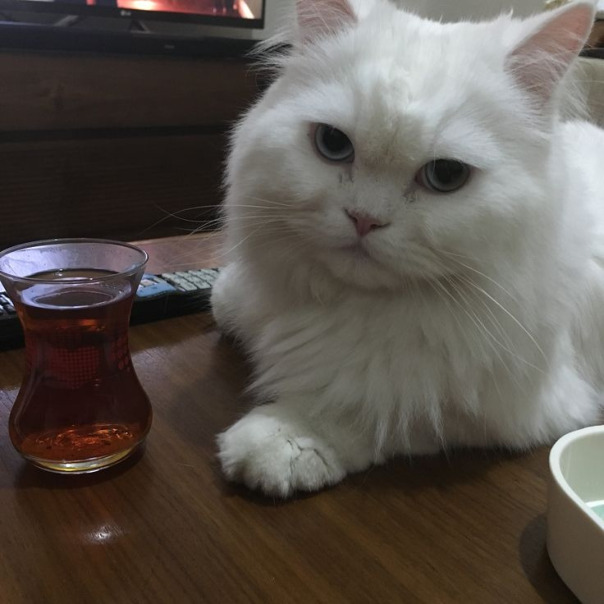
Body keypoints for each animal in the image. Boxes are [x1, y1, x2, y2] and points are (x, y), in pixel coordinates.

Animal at [212, 0, 604, 498]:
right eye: (333, 144)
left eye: (446, 176)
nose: (364, 218)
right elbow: (228, 303)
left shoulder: (512, 404)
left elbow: (376, 403)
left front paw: (285, 439)